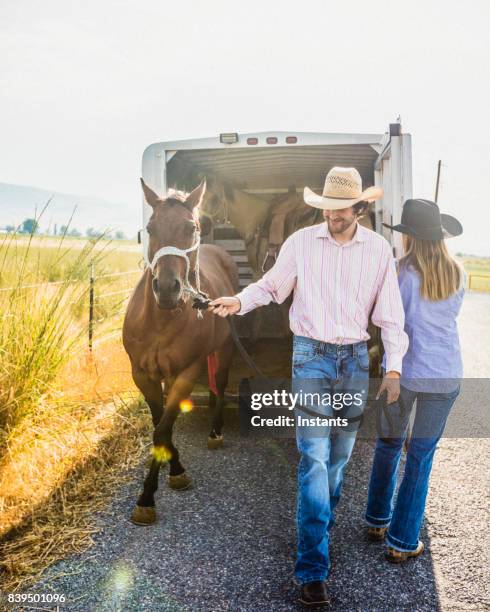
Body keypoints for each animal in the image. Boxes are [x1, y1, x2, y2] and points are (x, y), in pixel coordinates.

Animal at [121, 177, 238, 524]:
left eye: (191, 227)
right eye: (150, 227)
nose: (167, 288)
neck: (160, 319)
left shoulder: (186, 372)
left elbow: (162, 430)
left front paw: (147, 497)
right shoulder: (143, 375)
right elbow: (162, 425)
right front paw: (173, 470)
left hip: (225, 348)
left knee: (220, 384)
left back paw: (215, 432)